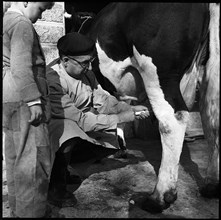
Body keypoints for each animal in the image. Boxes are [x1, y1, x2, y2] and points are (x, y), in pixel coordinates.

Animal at [65, 2, 219, 213]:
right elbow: (122, 112)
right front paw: (121, 148)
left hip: (158, 73)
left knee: (172, 120)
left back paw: (159, 198)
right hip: (211, 73)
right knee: (211, 118)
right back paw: (211, 184)